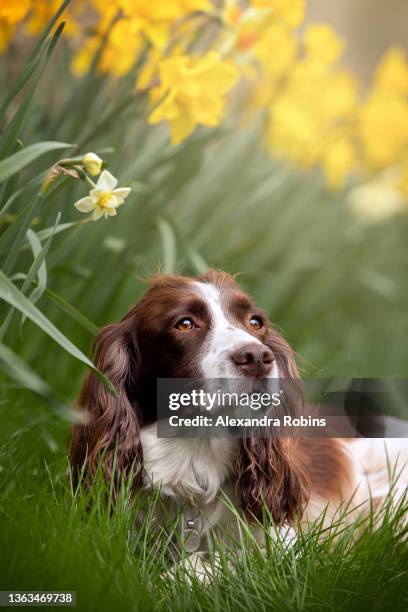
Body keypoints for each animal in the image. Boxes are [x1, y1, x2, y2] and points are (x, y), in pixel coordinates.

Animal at [71, 272, 408, 580]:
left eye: (256, 322)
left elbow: (215, 561)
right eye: (184, 323)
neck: (195, 461)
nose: (257, 357)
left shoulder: (285, 543)